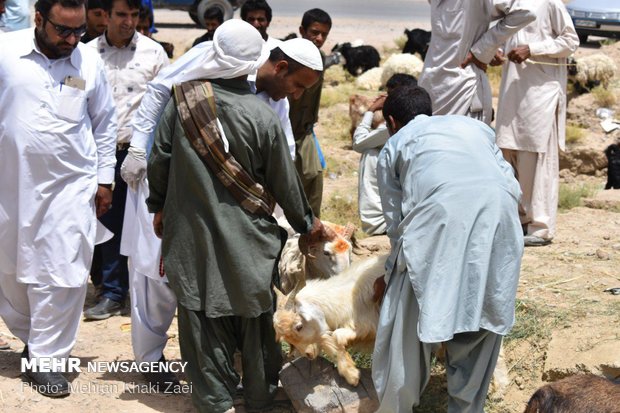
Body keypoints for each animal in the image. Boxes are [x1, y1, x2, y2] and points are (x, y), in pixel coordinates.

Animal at [272, 253, 386, 384]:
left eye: (299, 326)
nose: (308, 354)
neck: (347, 296)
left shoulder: (369, 324)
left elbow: (337, 335)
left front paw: (352, 375)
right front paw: (350, 372)